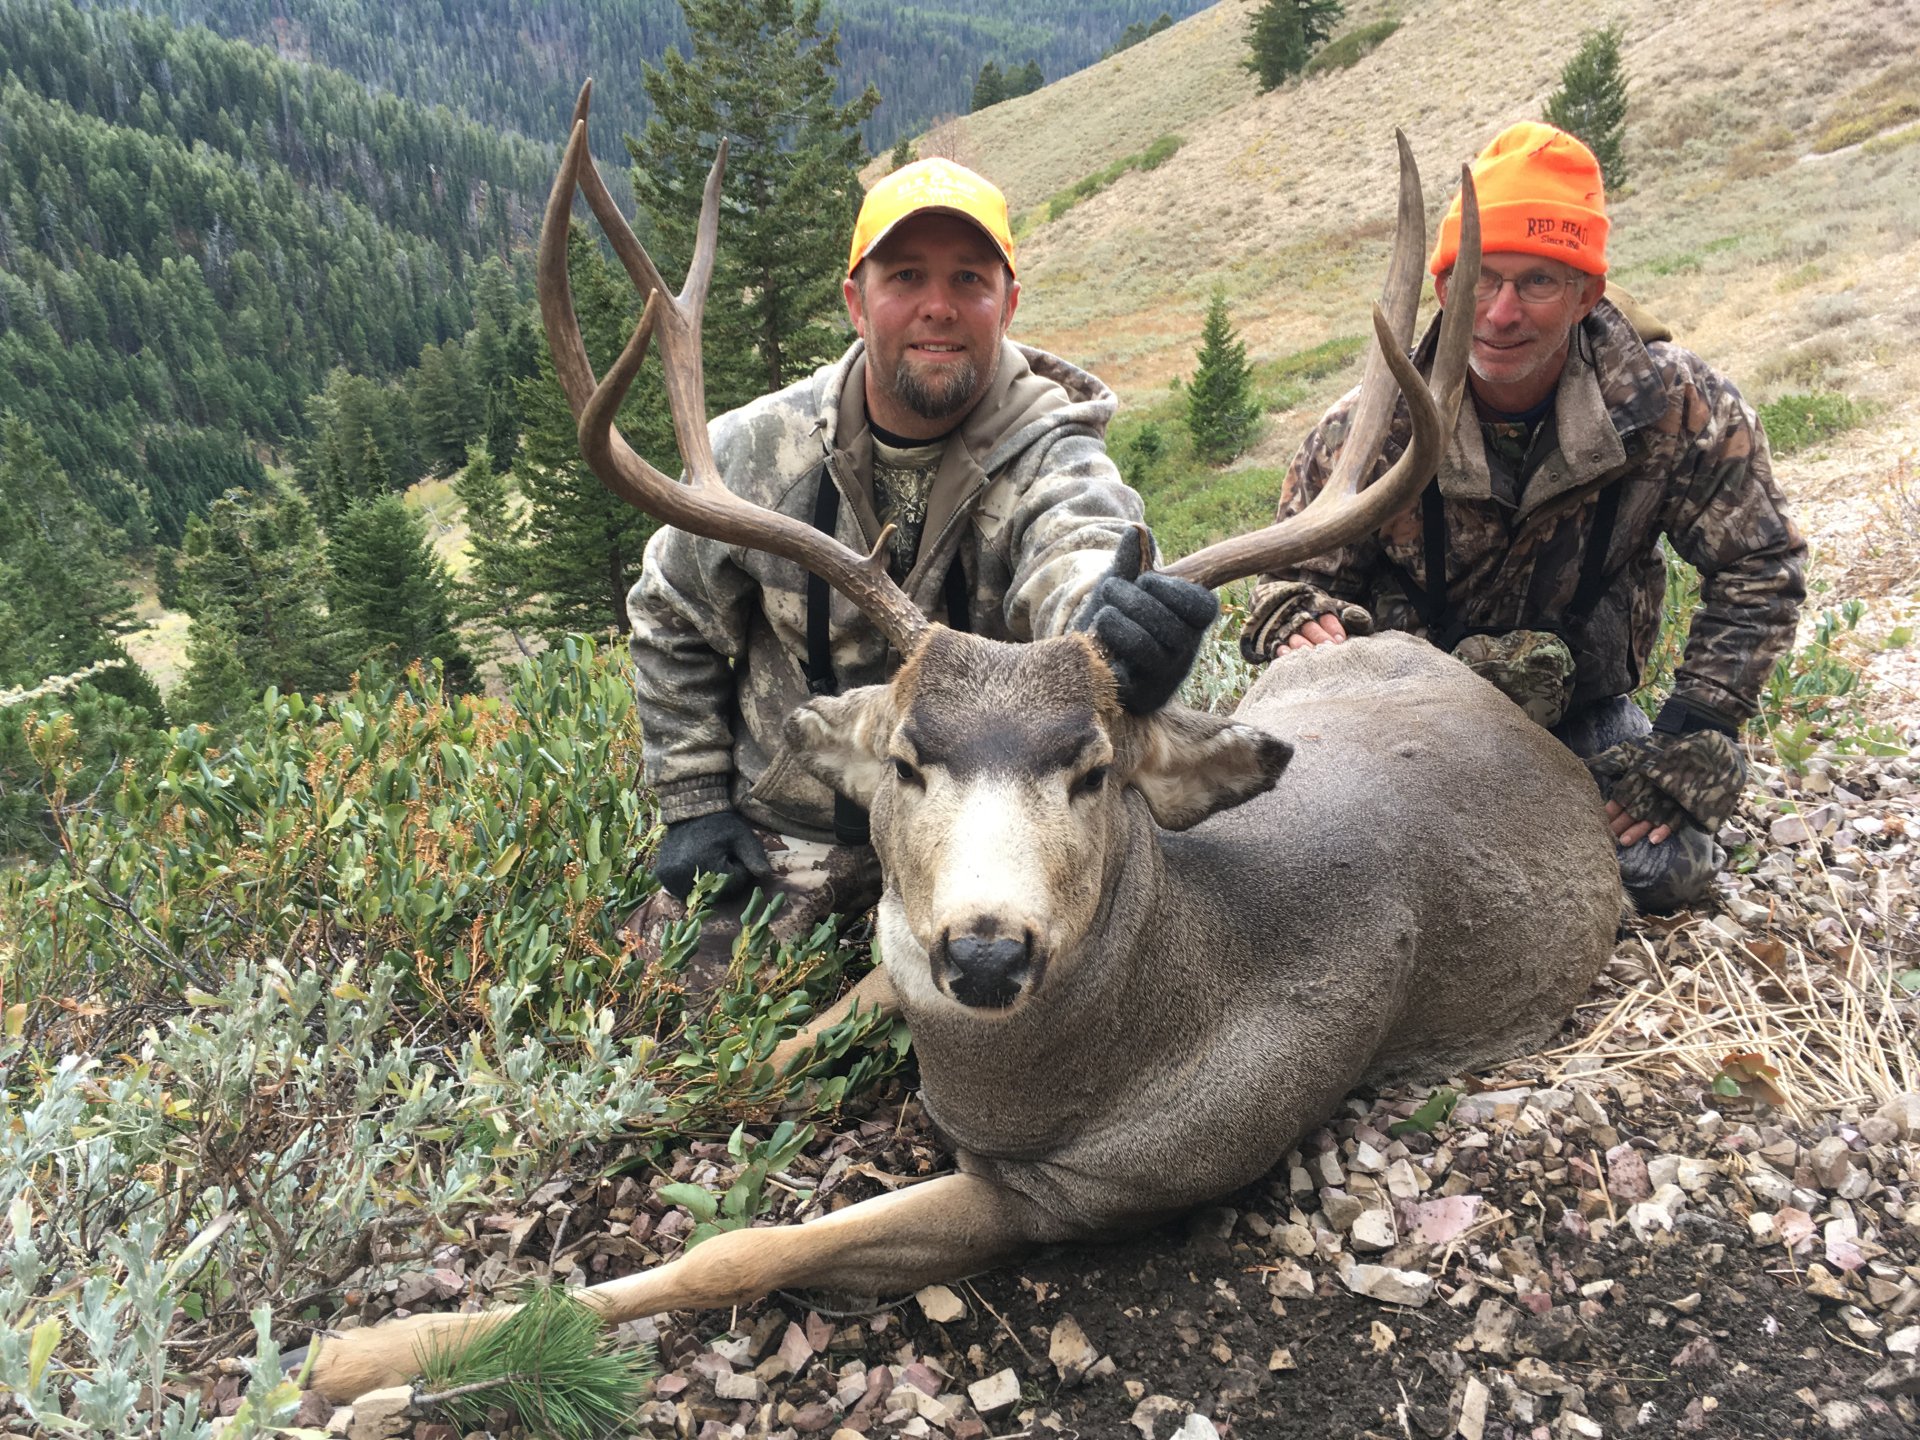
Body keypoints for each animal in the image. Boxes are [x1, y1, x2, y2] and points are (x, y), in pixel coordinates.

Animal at [299, 85, 1623, 1404]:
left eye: (1094, 770)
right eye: (906, 758)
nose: (987, 951)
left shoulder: (1074, 1189)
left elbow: (743, 1247)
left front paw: (369, 1353)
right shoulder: (896, 957)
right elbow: (757, 1054)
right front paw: (568, 1125)